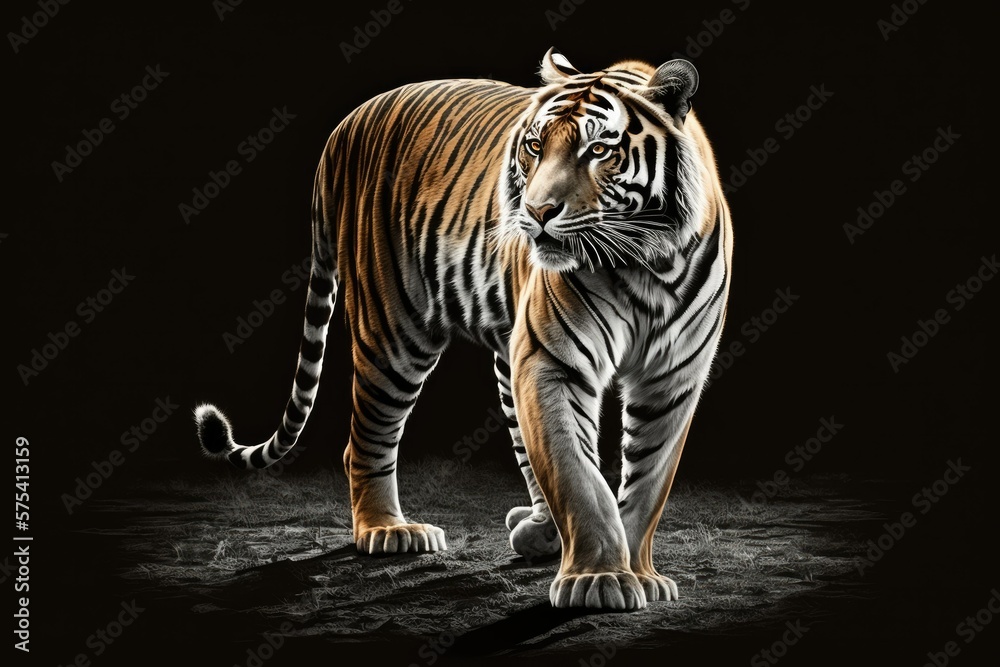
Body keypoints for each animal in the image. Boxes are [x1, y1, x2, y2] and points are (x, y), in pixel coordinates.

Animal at [195, 48, 733, 611]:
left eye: (599, 150)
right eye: (536, 146)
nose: (537, 212)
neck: (648, 263)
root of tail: (344, 127)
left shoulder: (671, 380)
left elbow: (648, 483)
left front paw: (641, 574)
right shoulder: (554, 362)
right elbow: (579, 476)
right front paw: (600, 578)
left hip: (502, 353)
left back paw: (537, 532)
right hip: (394, 335)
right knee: (367, 437)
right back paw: (387, 530)